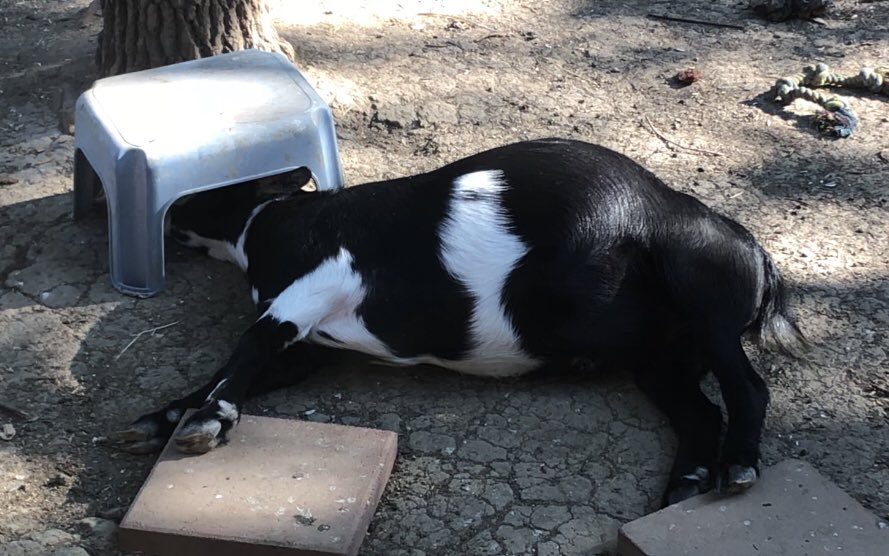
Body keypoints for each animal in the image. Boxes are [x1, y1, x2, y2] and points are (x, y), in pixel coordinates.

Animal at [109, 138, 806, 505]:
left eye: (214, 185)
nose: (170, 213)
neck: (270, 223)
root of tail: (749, 246)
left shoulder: (316, 285)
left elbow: (247, 347)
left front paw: (206, 421)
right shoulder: (310, 348)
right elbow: (241, 367)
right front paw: (162, 419)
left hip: (702, 296)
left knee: (750, 389)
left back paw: (739, 467)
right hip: (659, 364)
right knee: (702, 412)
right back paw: (687, 482)